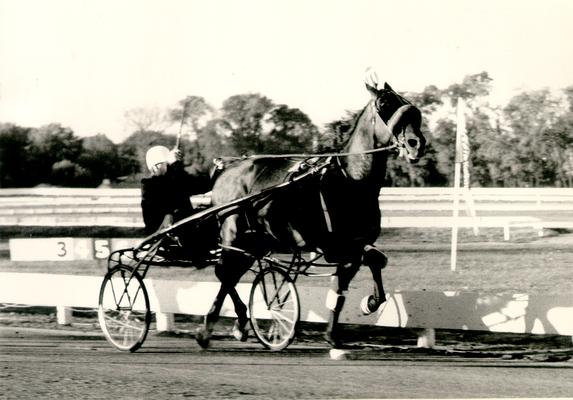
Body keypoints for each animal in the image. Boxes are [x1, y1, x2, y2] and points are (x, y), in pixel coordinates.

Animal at [197, 77, 424, 346]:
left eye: (407, 104)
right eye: (384, 104)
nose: (416, 144)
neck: (351, 181)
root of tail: (226, 170)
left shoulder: (356, 245)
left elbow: (368, 268)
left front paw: (350, 319)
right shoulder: (335, 246)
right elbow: (369, 261)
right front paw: (364, 306)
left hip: (256, 242)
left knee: (230, 275)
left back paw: (239, 324)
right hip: (234, 235)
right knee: (224, 272)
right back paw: (209, 328)